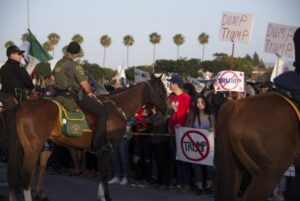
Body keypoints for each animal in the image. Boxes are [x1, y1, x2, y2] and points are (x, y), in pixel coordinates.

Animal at [7, 75, 168, 201]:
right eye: (162, 91)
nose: (169, 111)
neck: (117, 108)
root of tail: (21, 106)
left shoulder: (101, 151)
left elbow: (102, 174)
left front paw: (101, 195)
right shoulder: (107, 149)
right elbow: (104, 174)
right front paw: (106, 197)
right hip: (33, 148)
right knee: (25, 175)